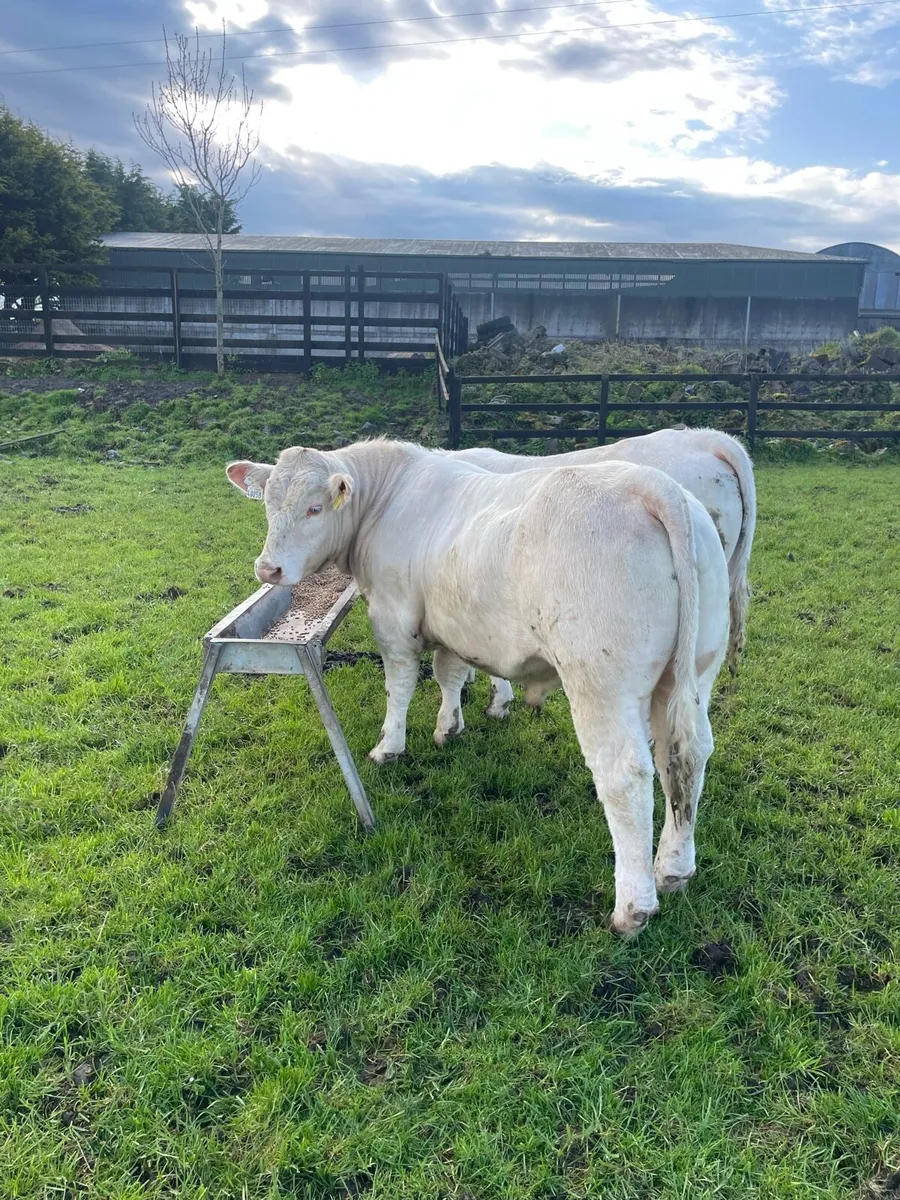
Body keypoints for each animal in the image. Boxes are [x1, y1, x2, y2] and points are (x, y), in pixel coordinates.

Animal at [227, 439, 730, 937]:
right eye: (268, 503)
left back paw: (632, 906)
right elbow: (448, 673)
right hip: (691, 673)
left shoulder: (393, 620)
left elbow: (400, 685)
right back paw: (674, 867)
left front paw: (389, 746)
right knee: (685, 757)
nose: (268, 569)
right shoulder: (453, 623)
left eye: (314, 508)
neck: (387, 498)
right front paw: (449, 727)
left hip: (602, 685)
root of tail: (652, 485)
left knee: (625, 776)